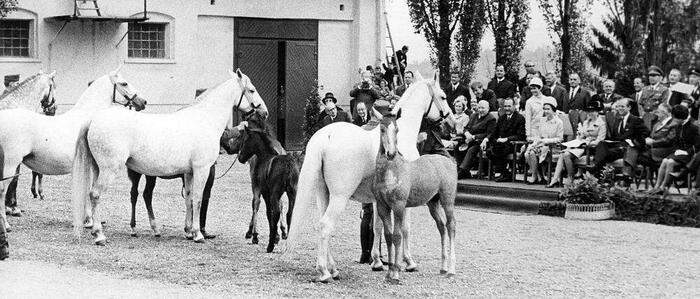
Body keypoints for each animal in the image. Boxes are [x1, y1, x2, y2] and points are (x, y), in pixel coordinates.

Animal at [0, 67, 145, 233]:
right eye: (124, 83)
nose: (143, 102)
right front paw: (89, 221)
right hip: (10, 164)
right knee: (2, 190)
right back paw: (6, 225)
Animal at [71, 70, 268, 246]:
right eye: (251, 90)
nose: (264, 112)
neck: (204, 120)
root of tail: (94, 119)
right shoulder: (202, 169)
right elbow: (198, 198)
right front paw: (198, 235)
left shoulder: (189, 173)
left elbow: (189, 198)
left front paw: (189, 231)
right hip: (109, 170)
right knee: (96, 195)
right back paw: (99, 236)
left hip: (98, 169)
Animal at [284, 71, 452, 282]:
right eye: (443, 96)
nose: (449, 121)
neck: (401, 134)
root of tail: (326, 136)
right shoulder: (405, 198)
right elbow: (405, 228)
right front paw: (408, 262)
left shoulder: (379, 199)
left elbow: (377, 226)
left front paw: (378, 262)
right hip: (340, 196)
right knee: (325, 226)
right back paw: (324, 272)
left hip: (323, 194)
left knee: (321, 225)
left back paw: (333, 269)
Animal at [372, 115, 460, 286]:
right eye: (382, 129)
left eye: (397, 129)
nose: (391, 153)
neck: (391, 172)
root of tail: (450, 162)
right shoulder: (382, 206)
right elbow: (388, 235)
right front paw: (389, 273)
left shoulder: (399, 206)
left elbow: (397, 236)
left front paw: (396, 274)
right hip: (433, 203)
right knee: (441, 227)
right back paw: (443, 267)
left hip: (447, 200)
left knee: (451, 226)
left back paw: (452, 270)